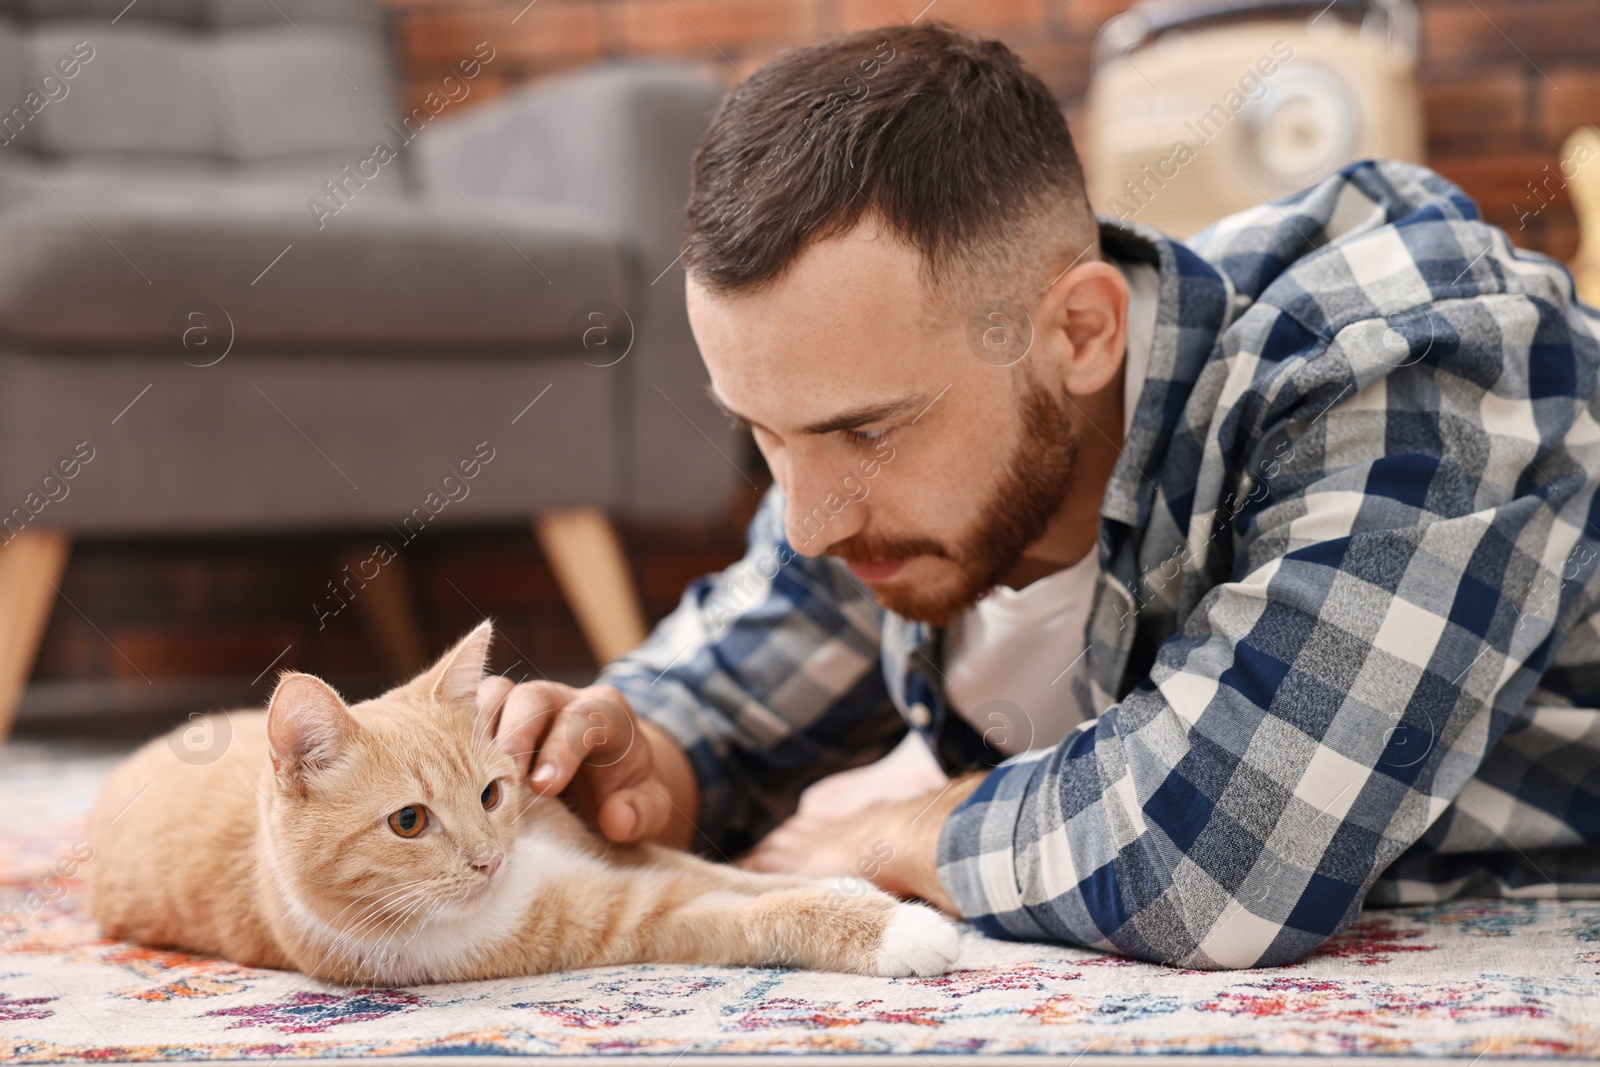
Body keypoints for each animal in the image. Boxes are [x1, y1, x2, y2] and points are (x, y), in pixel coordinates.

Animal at [84, 620, 960, 991]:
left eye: (492, 792)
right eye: (409, 821)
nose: (489, 858)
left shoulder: (615, 844)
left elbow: (734, 873)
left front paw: (855, 885)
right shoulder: (635, 916)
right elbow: (760, 911)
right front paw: (900, 929)